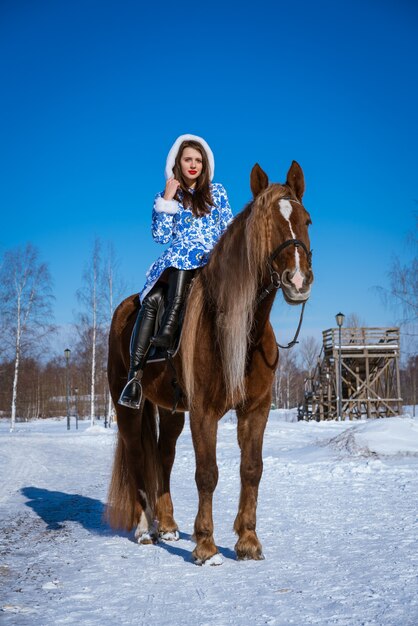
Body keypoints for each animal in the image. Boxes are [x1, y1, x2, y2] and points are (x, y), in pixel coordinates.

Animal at [108, 160, 314, 560]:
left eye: (307, 220)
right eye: (265, 224)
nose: (298, 280)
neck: (240, 329)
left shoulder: (256, 408)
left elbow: (252, 469)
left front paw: (248, 541)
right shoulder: (204, 411)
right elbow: (207, 473)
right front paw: (206, 546)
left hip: (171, 410)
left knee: (164, 456)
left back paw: (167, 526)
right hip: (127, 408)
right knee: (138, 457)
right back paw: (143, 529)